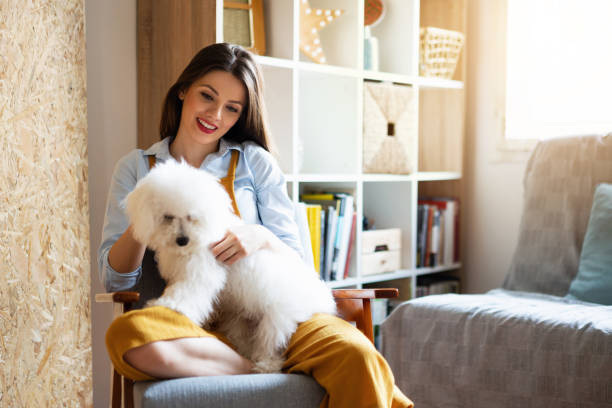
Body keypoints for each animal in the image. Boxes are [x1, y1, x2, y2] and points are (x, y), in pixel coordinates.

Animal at [124, 159, 334, 372]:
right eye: (167, 216)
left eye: (192, 216)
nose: (182, 240)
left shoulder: (200, 272)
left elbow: (188, 291)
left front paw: (170, 305)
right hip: (240, 322)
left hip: (276, 319)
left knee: (271, 346)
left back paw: (264, 366)